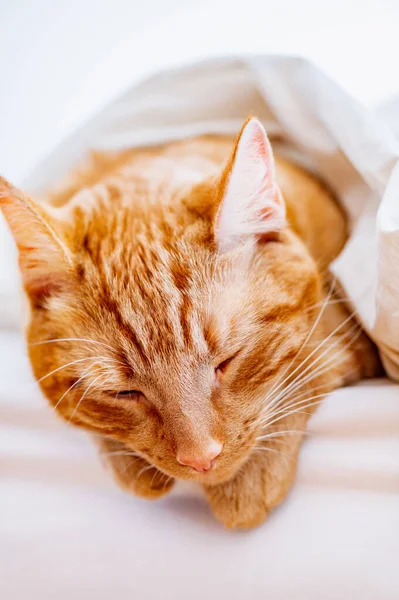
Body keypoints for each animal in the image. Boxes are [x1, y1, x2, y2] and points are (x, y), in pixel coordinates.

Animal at [0, 118, 382, 528]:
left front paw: (249, 481)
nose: (201, 459)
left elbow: (313, 359)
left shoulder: (349, 328)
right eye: (122, 392)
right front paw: (135, 471)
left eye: (227, 361)